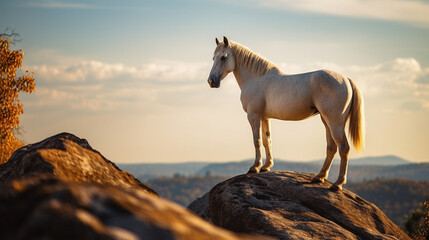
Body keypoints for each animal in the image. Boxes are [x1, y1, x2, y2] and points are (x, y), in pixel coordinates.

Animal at [206, 36, 362, 190]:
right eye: (213, 57)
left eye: (223, 57)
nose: (211, 81)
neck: (256, 78)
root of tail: (346, 79)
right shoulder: (265, 117)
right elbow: (267, 140)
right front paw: (266, 166)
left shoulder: (253, 116)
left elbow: (257, 141)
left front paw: (255, 167)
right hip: (326, 120)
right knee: (331, 147)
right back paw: (319, 177)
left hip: (334, 122)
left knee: (343, 148)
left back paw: (337, 183)